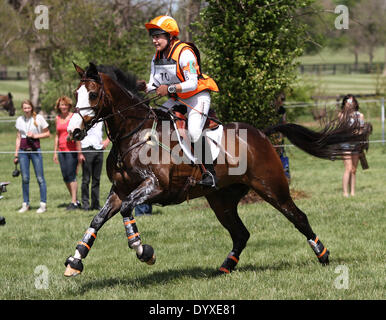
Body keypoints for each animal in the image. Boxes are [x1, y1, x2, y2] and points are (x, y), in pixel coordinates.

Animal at [63, 62, 368, 278]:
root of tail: (261, 134)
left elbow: (127, 209)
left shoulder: (154, 186)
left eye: (92, 94)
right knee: (241, 233)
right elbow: (97, 220)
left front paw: (143, 251)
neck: (134, 134)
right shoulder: (119, 190)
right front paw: (75, 261)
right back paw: (226, 267)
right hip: (222, 199)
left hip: (271, 187)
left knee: (298, 217)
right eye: (75, 94)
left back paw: (323, 255)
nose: (74, 131)